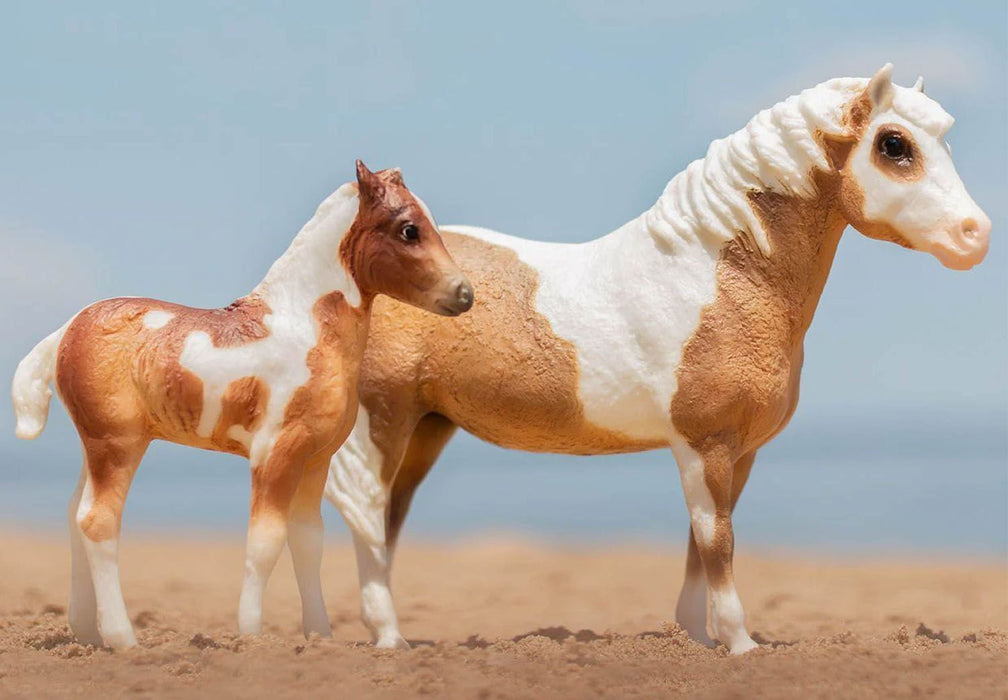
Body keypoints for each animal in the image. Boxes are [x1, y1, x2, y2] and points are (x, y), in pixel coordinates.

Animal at [8, 160, 471, 653]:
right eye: (409, 230)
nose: (465, 294)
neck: (302, 327)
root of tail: (65, 330)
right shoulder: (274, 454)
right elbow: (264, 541)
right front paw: (251, 637)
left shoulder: (316, 458)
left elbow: (308, 540)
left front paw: (319, 637)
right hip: (118, 444)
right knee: (98, 521)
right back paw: (124, 639)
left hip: (94, 445)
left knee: (75, 515)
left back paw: (88, 635)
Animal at [324, 68, 991, 653]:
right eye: (893, 144)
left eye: (945, 138)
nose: (975, 235)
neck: (715, 278)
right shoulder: (704, 442)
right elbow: (719, 542)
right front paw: (740, 644)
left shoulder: (737, 451)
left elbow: (703, 543)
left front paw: (697, 638)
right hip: (384, 423)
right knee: (366, 513)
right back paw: (388, 637)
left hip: (426, 429)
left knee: (387, 519)